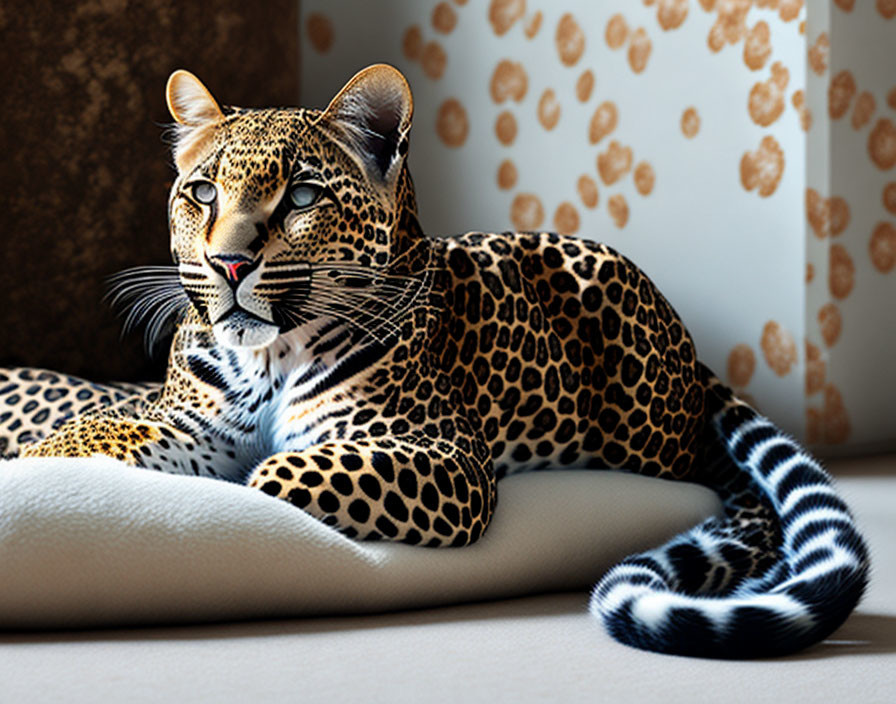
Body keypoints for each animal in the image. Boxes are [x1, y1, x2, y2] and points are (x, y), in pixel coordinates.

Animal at [3, 63, 864, 656]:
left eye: (302, 198)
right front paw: (39, 463)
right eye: (203, 193)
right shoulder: (186, 422)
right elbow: (89, 436)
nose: (230, 263)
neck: (269, 358)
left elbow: (274, 473)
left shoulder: (447, 459)